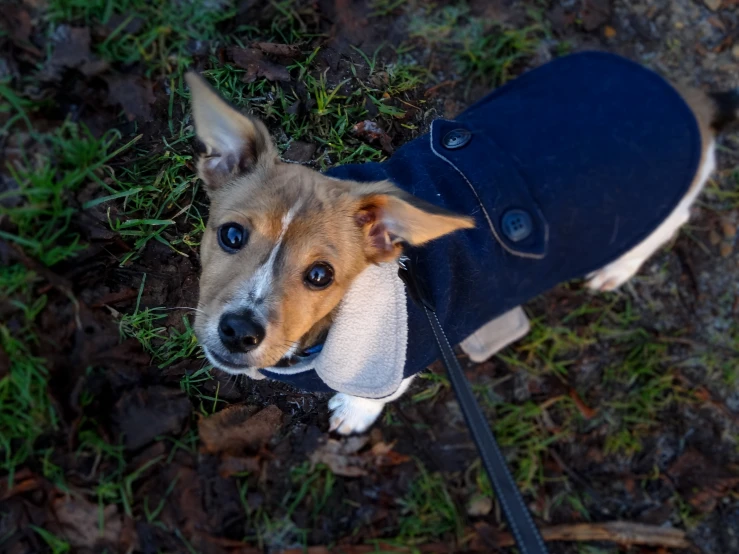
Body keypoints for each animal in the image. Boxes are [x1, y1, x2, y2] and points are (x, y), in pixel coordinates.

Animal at [186, 52, 739, 432]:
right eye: (231, 235)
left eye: (320, 275)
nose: (239, 331)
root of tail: (688, 98)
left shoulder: (409, 354)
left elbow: (379, 394)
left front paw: (355, 413)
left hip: (664, 204)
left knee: (674, 221)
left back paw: (616, 270)